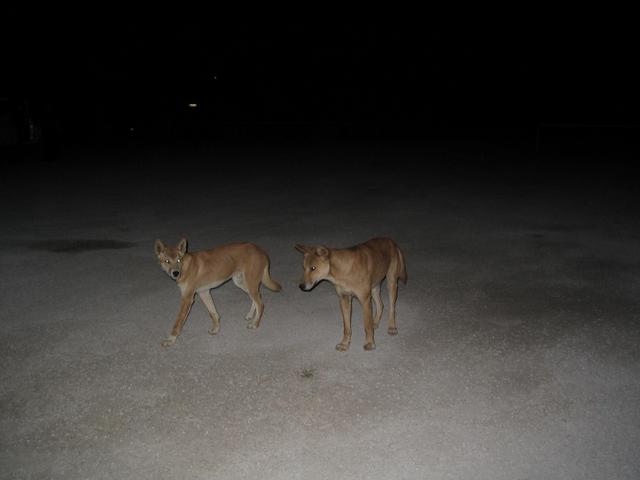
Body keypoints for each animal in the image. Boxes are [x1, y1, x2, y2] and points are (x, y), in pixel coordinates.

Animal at [154, 239, 282, 344]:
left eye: (178, 260)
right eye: (167, 261)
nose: (175, 273)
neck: (185, 267)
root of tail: (261, 250)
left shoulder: (187, 299)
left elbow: (178, 322)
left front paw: (171, 339)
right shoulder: (204, 292)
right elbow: (213, 313)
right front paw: (216, 329)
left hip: (249, 283)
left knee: (260, 303)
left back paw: (255, 323)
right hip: (241, 283)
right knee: (257, 297)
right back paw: (251, 315)